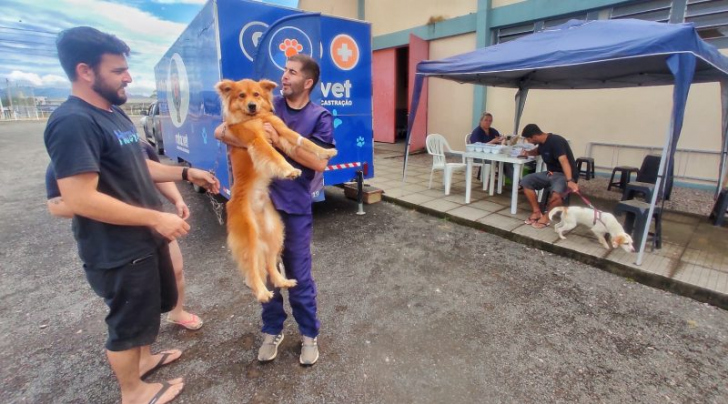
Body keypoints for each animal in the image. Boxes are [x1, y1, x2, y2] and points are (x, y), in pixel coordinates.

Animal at [216, 79, 338, 302]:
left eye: (256, 94)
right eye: (241, 96)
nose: (252, 106)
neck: (257, 117)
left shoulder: (279, 130)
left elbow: (303, 141)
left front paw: (325, 151)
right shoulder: (257, 140)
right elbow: (275, 156)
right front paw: (289, 170)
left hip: (275, 232)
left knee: (270, 262)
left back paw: (282, 281)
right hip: (250, 238)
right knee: (253, 268)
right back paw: (262, 292)